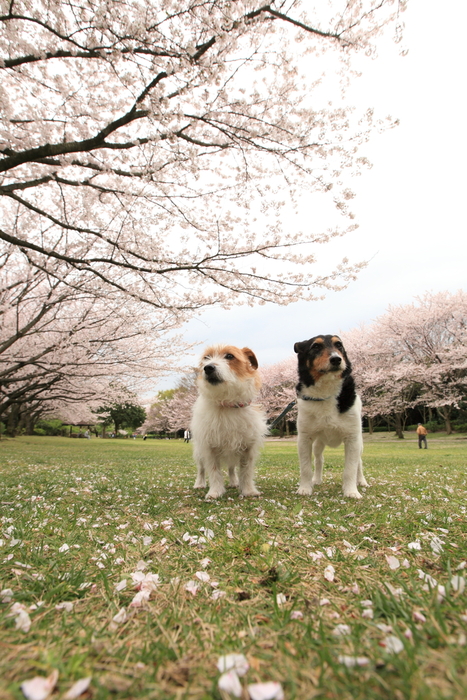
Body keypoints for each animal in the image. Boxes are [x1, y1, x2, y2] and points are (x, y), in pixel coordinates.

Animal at [189, 344, 266, 498]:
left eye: (229, 356)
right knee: (201, 469)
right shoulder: (209, 448)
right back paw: (199, 484)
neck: (228, 405)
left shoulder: (248, 448)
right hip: (199, 452)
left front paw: (248, 490)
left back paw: (234, 482)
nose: (208, 368)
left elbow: (246, 471)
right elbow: (213, 471)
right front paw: (215, 492)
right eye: (206, 358)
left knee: (231, 469)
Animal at [294, 334, 368, 498]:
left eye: (339, 345)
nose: (336, 359)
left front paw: (351, 491)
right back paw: (317, 479)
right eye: (315, 346)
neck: (325, 392)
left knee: (359, 463)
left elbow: (350, 469)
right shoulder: (305, 438)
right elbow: (305, 468)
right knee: (319, 460)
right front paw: (305, 488)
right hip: (318, 443)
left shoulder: (352, 439)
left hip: (360, 442)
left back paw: (362, 481)